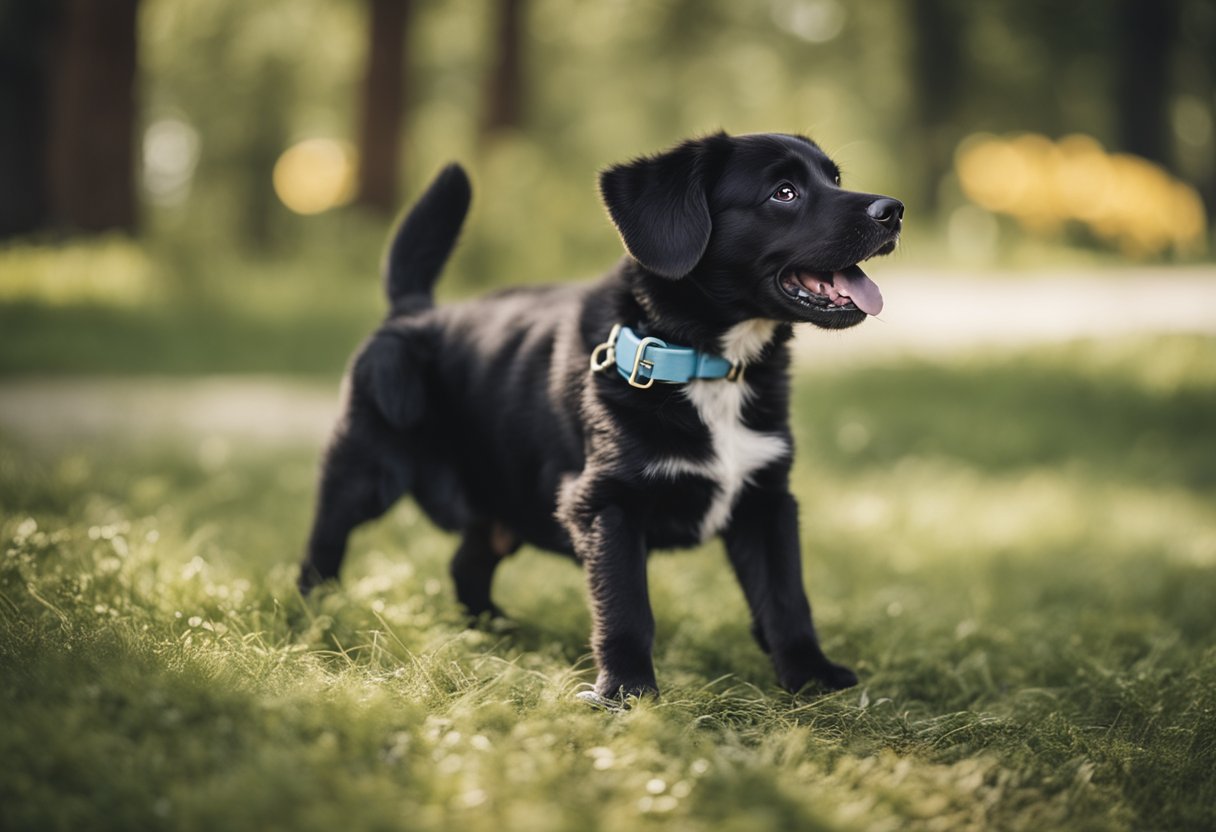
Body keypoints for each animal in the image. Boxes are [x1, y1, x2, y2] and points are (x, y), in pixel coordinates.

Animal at [296, 130, 904, 700]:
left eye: (834, 178)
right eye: (784, 192)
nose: (893, 209)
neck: (705, 364)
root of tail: (412, 311)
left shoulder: (766, 499)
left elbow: (786, 598)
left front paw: (811, 677)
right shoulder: (605, 504)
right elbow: (627, 610)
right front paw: (626, 694)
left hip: (508, 498)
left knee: (466, 562)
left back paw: (494, 630)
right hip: (365, 470)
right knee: (325, 542)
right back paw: (315, 620)